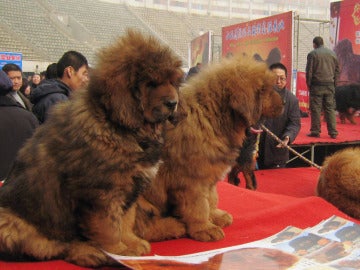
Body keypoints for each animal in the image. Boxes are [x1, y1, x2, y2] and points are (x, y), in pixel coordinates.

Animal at [0, 30, 186, 268]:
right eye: (151, 83)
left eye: (173, 82)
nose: (173, 103)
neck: (117, 124)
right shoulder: (102, 192)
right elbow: (109, 227)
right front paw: (118, 252)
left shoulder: (129, 188)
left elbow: (125, 220)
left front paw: (131, 243)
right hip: (10, 223)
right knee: (51, 246)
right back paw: (88, 253)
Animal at [135, 56, 284, 243]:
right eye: (266, 90)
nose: (284, 102)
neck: (211, 115)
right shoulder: (192, 178)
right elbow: (199, 205)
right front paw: (205, 228)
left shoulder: (210, 174)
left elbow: (211, 198)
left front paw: (215, 216)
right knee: (141, 227)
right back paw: (173, 226)